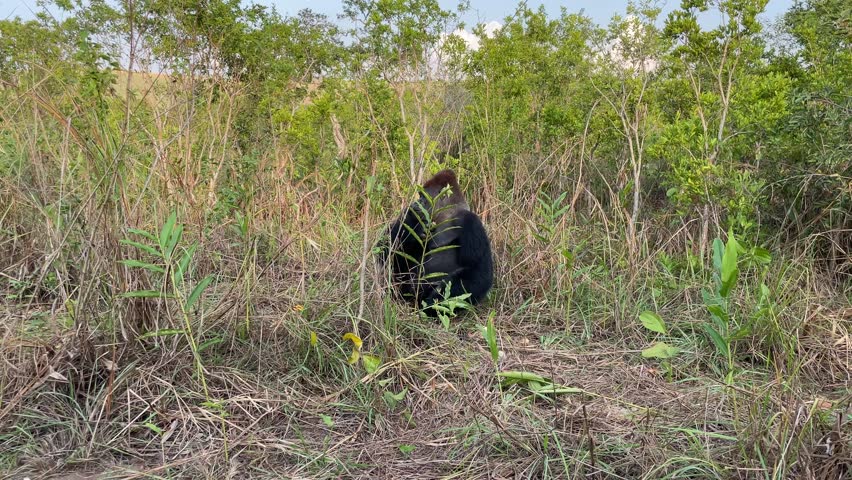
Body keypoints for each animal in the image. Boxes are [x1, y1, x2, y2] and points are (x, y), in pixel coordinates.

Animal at [378, 169, 493, 317]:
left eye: (423, 196)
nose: (417, 202)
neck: (447, 215)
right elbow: (385, 251)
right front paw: (412, 221)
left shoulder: (471, 222)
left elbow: (477, 271)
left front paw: (433, 304)